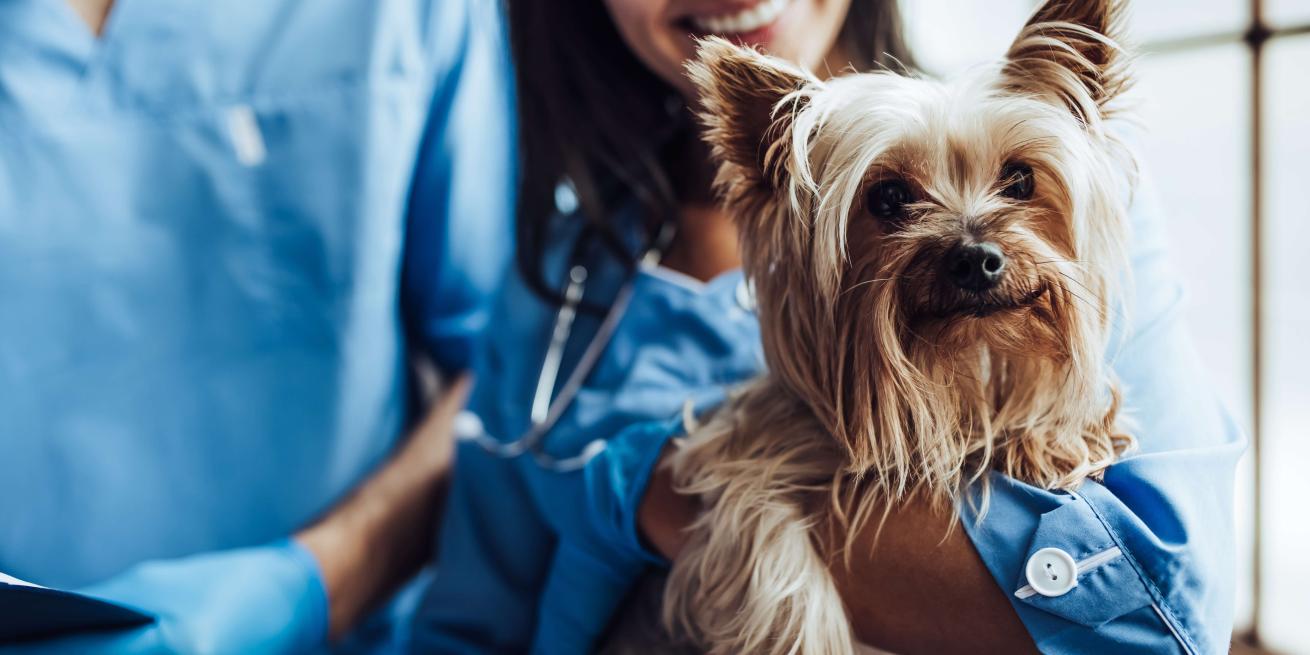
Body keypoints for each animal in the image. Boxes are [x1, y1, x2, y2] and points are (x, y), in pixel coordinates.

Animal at [665, 1, 1137, 655]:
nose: (976, 258)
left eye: (1019, 180)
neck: (953, 367)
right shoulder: (737, 457)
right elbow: (769, 553)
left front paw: (1051, 435)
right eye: (887, 197)